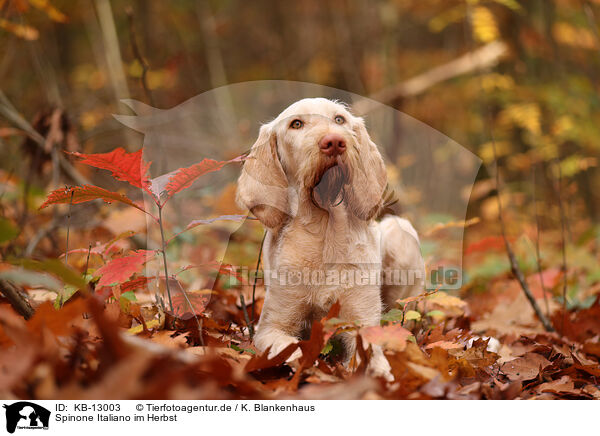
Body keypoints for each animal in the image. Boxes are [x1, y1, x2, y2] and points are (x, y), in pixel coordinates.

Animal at [237, 98, 424, 378]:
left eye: (339, 120)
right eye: (296, 124)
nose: (334, 141)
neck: (324, 230)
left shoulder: (361, 318)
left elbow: (373, 356)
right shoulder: (271, 327)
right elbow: (291, 348)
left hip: (400, 232)